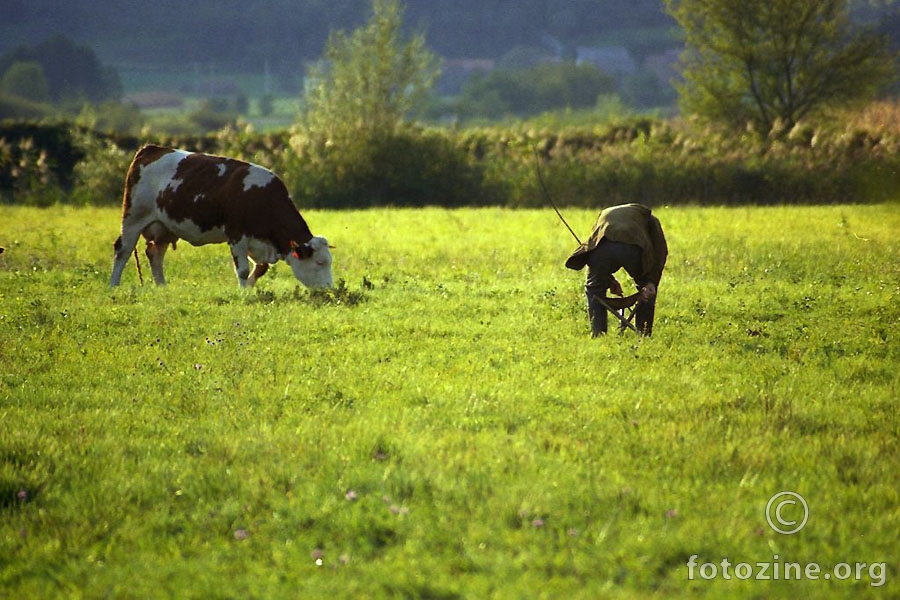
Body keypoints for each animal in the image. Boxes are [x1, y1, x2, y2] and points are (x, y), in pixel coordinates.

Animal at [110, 144, 334, 288]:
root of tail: (150, 149)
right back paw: (114, 285)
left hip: (164, 228)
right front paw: (244, 294)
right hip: (133, 217)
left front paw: (249, 290)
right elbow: (243, 269)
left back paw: (162, 287)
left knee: (155, 254)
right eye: (320, 263)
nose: (329, 288)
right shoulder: (236, 235)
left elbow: (260, 269)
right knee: (123, 250)